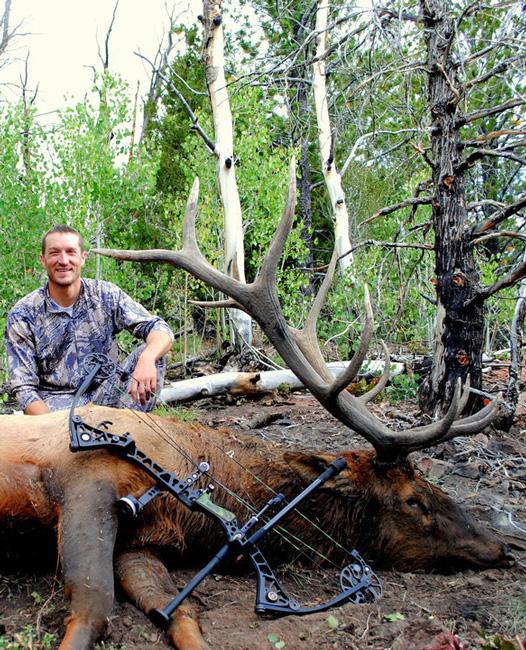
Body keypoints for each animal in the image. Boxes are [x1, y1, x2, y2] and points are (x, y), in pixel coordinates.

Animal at [0, 163, 512, 648]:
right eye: (412, 499)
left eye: (428, 481)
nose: (501, 547)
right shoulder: (87, 482)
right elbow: (93, 609)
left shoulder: (142, 543)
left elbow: (179, 613)